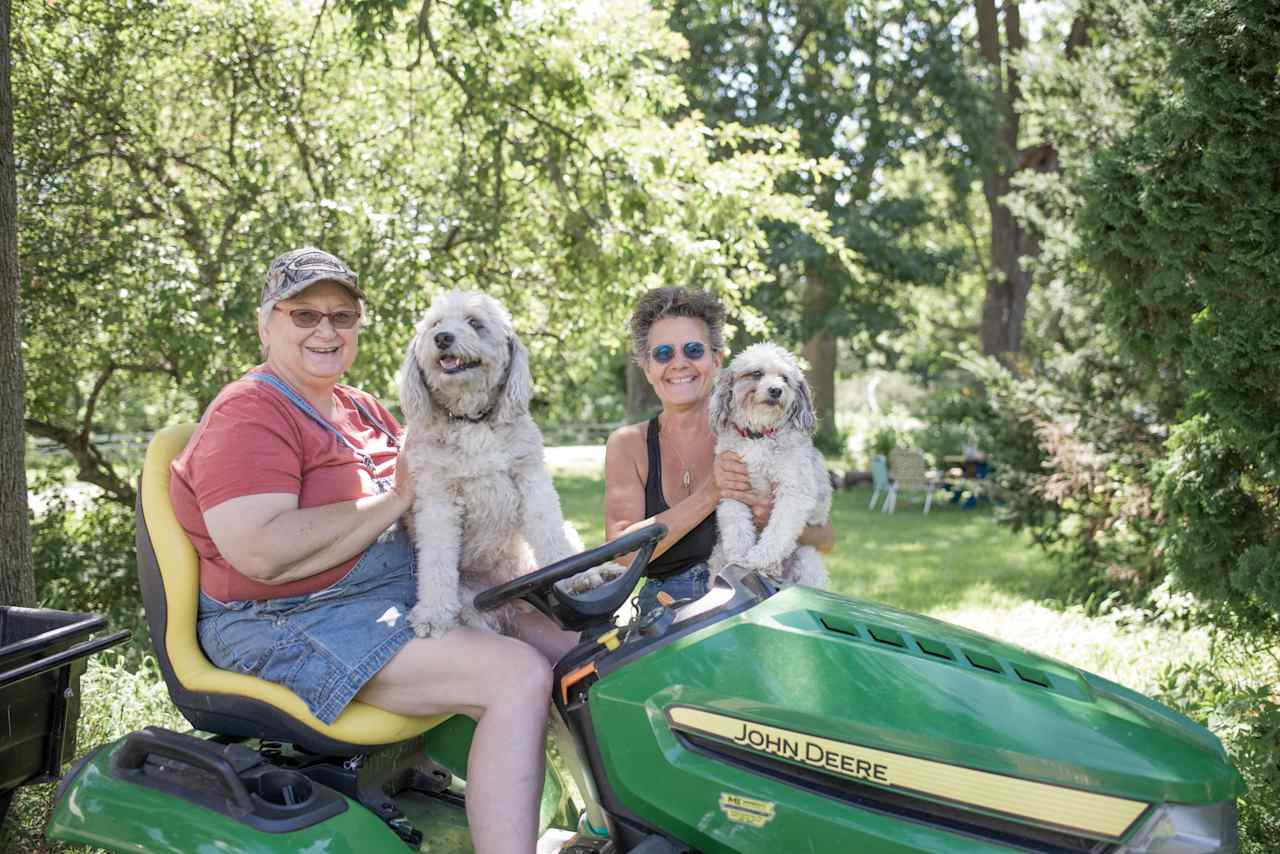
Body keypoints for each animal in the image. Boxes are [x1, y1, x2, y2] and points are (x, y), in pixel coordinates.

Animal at [401, 290, 616, 637]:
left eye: (475, 323)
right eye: (435, 323)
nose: (442, 337)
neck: (471, 420)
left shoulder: (531, 480)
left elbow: (549, 534)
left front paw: (573, 576)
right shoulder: (437, 500)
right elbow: (436, 560)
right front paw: (432, 614)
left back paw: (599, 571)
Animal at [706, 340, 834, 588]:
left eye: (785, 378)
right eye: (756, 373)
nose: (776, 390)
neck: (759, 436)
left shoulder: (794, 491)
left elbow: (779, 529)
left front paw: (760, 557)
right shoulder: (733, 489)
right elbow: (737, 527)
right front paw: (740, 558)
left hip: (807, 559)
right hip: (717, 556)